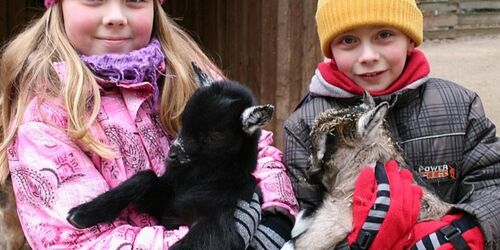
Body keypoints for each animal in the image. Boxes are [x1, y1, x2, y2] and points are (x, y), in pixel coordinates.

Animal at [66, 81, 274, 249]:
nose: (172, 155)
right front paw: (81, 214)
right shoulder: (163, 205)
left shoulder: (219, 221)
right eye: (183, 121)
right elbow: (145, 177)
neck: (195, 182)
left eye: (215, 136)